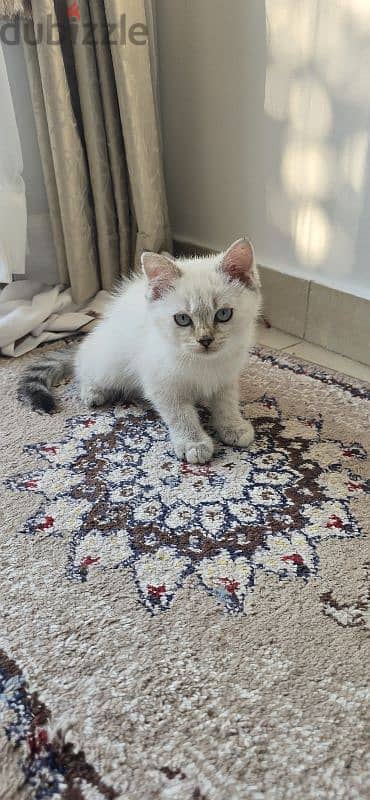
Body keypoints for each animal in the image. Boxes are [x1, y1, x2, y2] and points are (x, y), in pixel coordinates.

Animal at [18, 238, 260, 462]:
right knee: (83, 364)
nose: (206, 340)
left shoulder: (226, 377)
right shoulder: (162, 384)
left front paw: (233, 426)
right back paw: (93, 391)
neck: (206, 364)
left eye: (223, 314)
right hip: (108, 363)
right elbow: (181, 415)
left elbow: (226, 403)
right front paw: (193, 443)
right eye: (182, 319)